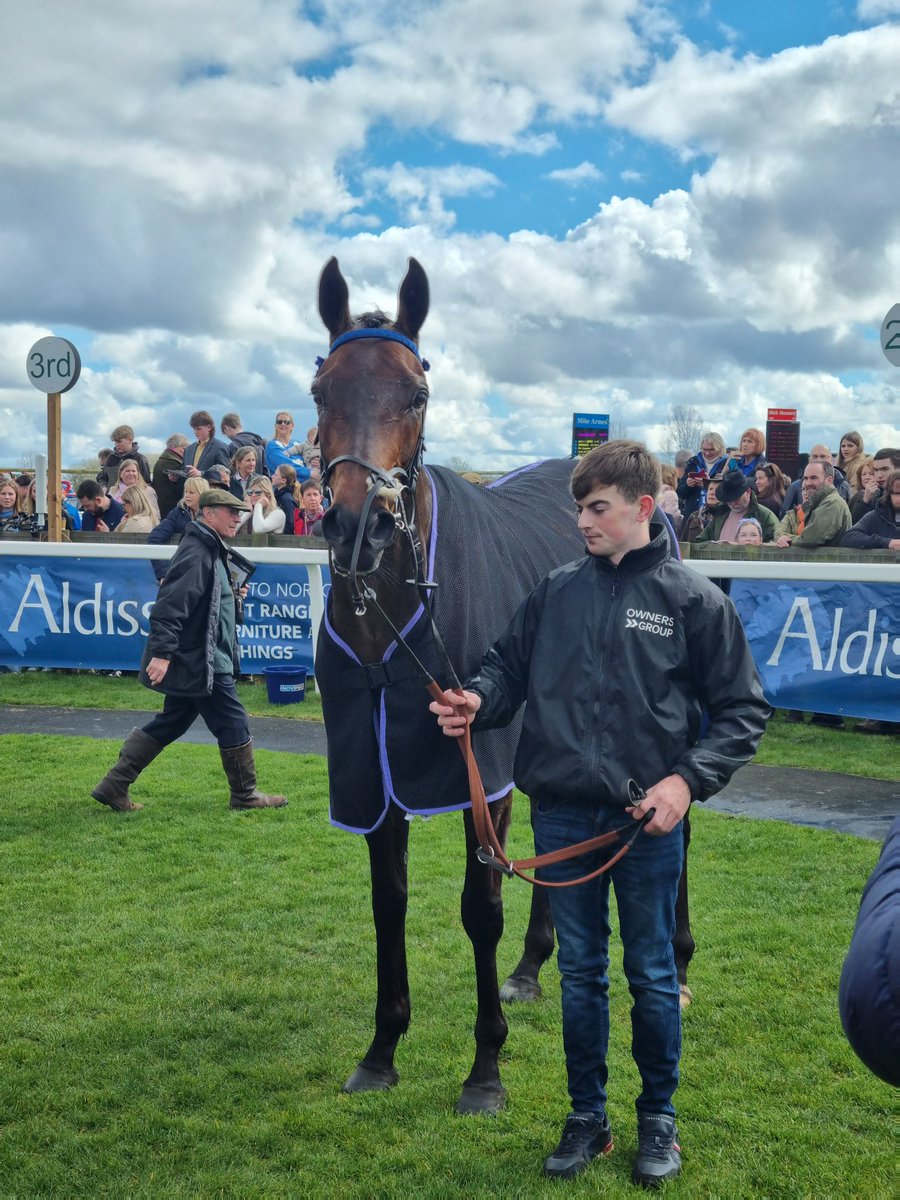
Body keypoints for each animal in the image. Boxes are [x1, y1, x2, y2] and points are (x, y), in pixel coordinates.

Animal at [309, 255, 696, 1113]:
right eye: (321, 391)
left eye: (417, 392)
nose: (359, 526)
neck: (392, 624)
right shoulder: (373, 768)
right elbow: (389, 902)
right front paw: (382, 1050)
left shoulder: (476, 767)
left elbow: (478, 907)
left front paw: (485, 1067)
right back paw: (530, 967)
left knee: (676, 830)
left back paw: (682, 961)